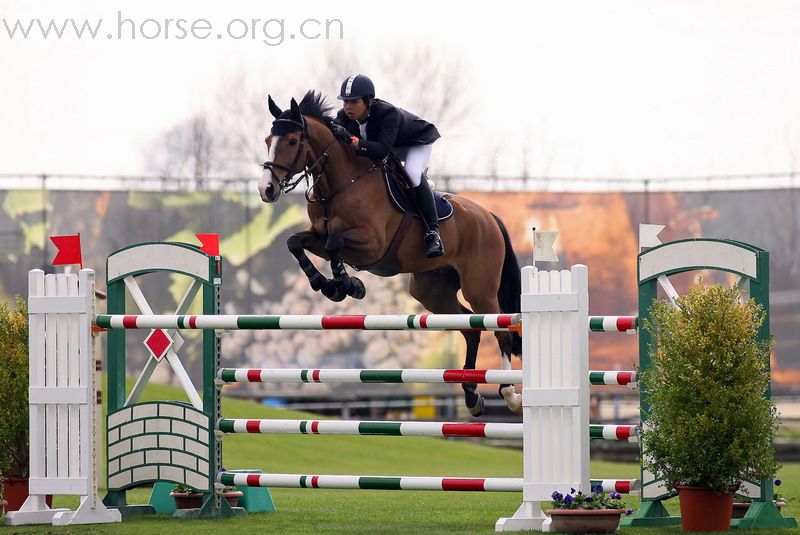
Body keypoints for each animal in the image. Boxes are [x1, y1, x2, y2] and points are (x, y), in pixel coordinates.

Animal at [258, 92, 524, 416]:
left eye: (293, 140)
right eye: (268, 139)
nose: (266, 189)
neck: (340, 182)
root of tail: (489, 217)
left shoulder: (372, 243)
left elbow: (334, 245)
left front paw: (347, 286)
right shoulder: (318, 235)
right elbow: (295, 242)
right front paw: (328, 285)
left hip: (480, 288)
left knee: (500, 329)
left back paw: (509, 394)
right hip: (431, 291)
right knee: (471, 328)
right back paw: (472, 396)